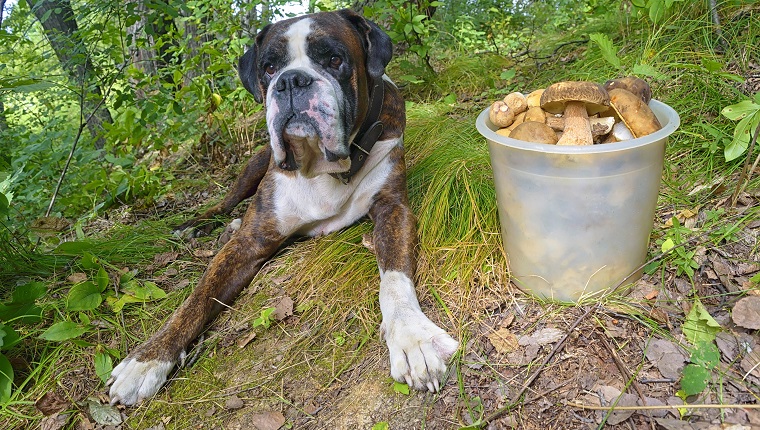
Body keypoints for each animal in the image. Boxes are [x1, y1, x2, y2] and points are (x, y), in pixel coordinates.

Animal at [107, 10, 458, 406]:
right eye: (269, 68)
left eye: (334, 60)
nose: (290, 81)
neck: (322, 168)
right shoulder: (249, 242)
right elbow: (195, 299)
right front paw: (147, 359)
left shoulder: (392, 210)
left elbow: (395, 279)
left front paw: (413, 338)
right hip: (252, 168)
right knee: (226, 203)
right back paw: (197, 224)